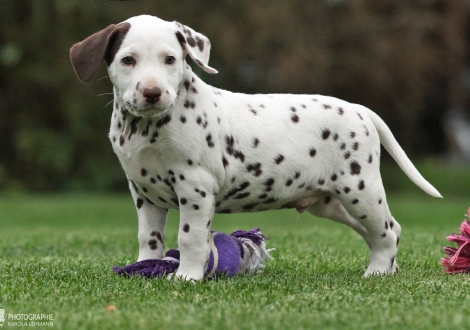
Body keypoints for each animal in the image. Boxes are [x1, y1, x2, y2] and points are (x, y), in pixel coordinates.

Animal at [69, 14, 440, 280]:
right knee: (386, 230)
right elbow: (149, 238)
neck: (147, 128)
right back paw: (389, 268)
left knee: (386, 232)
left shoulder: (194, 187)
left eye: (170, 59)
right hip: (331, 202)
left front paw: (187, 277)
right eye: (128, 60)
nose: (152, 92)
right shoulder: (144, 193)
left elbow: (190, 237)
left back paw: (377, 272)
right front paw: (144, 267)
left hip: (360, 191)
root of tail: (359, 109)